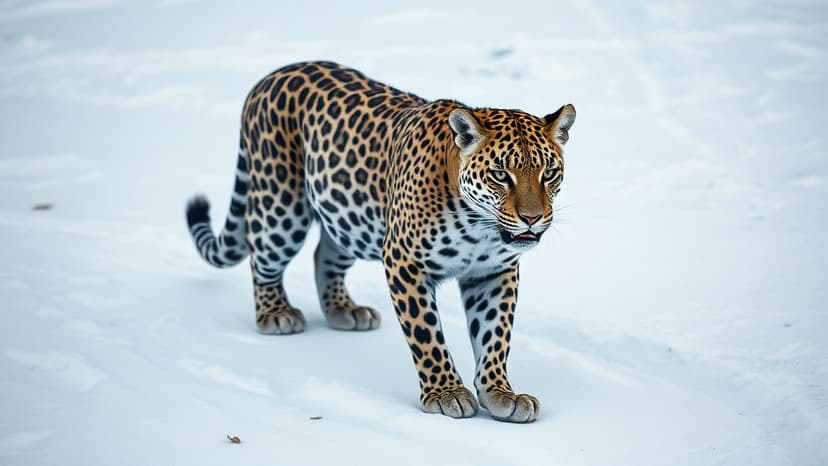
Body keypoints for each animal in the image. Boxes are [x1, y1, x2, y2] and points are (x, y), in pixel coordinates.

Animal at [185, 61, 575, 423]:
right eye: (500, 175)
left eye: (549, 173)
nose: (532, 218)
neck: (478, 227)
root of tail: (273, 75)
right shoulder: (406, 263)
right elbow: (427, 333)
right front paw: (446, 392)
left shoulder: (494, 272)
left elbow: (494, 335)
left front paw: (500, 392)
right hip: (282, 209)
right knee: (262, 257)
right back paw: (276, 314)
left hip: (348, 216)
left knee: (324, 254)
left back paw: (344, 310)